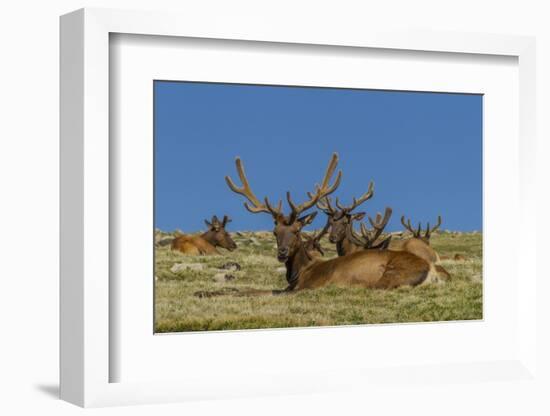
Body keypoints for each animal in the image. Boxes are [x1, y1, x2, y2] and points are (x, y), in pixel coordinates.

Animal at [224, 151, 444, 290]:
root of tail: (432, 269)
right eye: (275, 232)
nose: (282, 252)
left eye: (297, 230)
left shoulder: (307, 287)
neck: (298, 274)